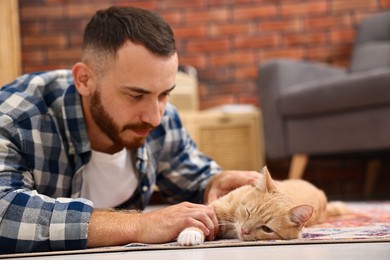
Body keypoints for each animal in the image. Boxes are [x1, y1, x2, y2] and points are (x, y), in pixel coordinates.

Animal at [177, 167, 348, 246]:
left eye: (266, 229)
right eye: (248, 212)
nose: (244, 230)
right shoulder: (216, 206)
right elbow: (201, 217)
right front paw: (191, 232)